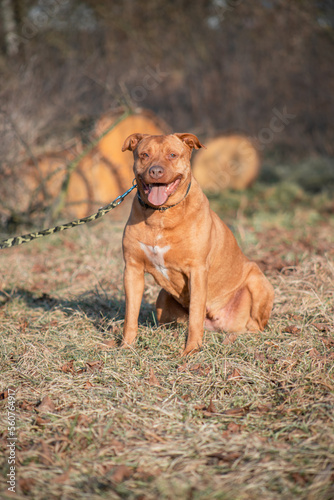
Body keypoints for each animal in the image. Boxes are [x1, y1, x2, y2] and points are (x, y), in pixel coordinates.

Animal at [120, 131, 274, 354]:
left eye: (172, 155)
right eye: (144, 154)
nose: (155, 171)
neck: (162, 214)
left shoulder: (197, 271)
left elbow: (195, 314)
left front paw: (191, 351)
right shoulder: (132, 269)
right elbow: (130, 315)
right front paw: (126, 346)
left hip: (258, 282)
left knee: (254, 328)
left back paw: (234, 339)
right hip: (162, 298)